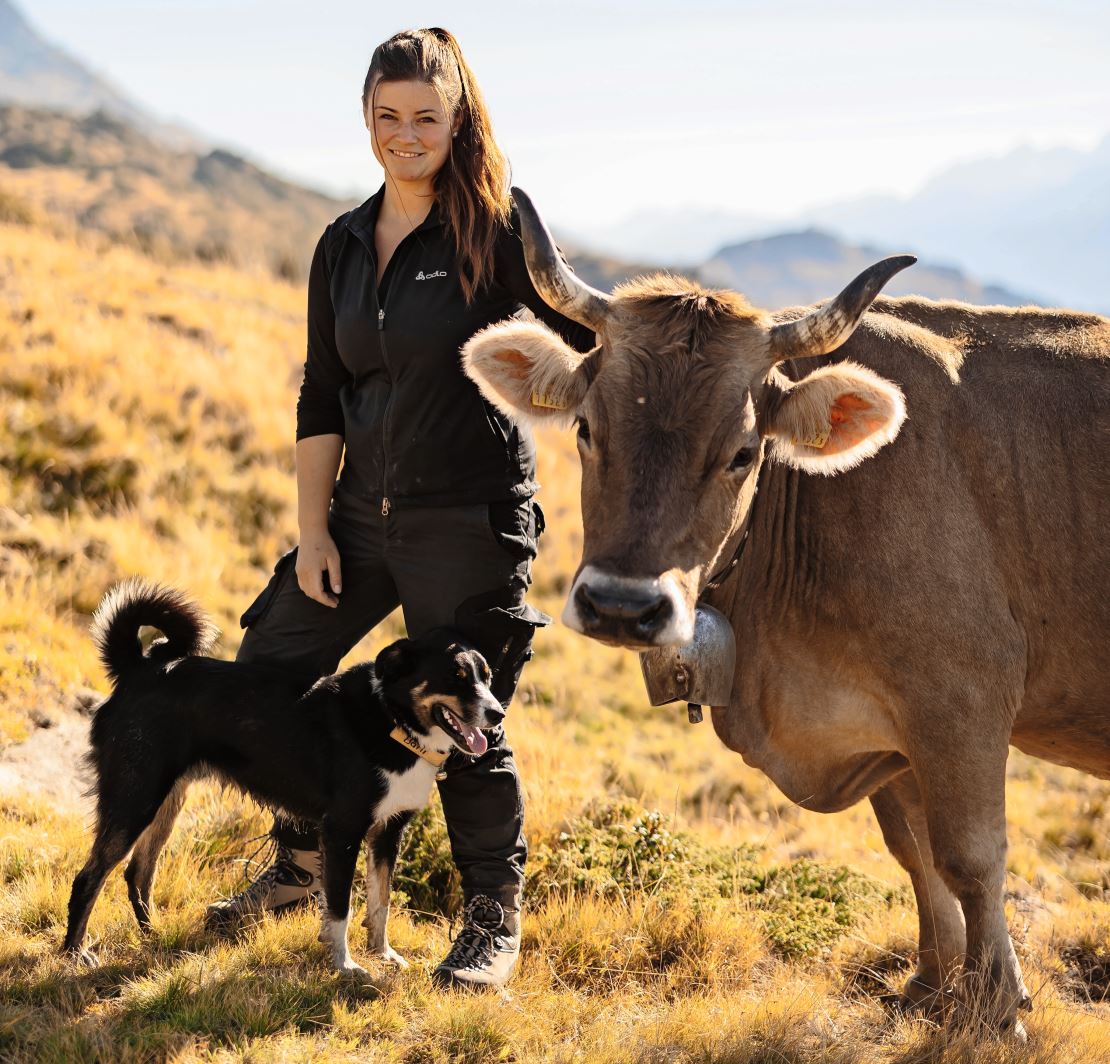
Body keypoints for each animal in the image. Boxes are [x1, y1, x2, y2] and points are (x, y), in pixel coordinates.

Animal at [62, 581, 501, 971]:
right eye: (456, 677)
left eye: (488, 677)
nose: (497, 714)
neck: (392, 718)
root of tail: (140, 669)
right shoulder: (342, 832)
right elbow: (340, 906)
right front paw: (344, 966)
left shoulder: (388, 833)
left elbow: (381, 903)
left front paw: (383, 955)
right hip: (134, 798)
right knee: (88, 878)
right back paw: (74, 953)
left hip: (165, 799)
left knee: (138, 874)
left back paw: (152, 937)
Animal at [461, 189, 1110, 1029]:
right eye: (585, 428)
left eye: (743, 452)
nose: (621, 607)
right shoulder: (893, 729)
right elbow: (916, 853)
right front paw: (934, 987)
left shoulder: (962, 698)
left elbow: (970, 857)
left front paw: (996, 1008)